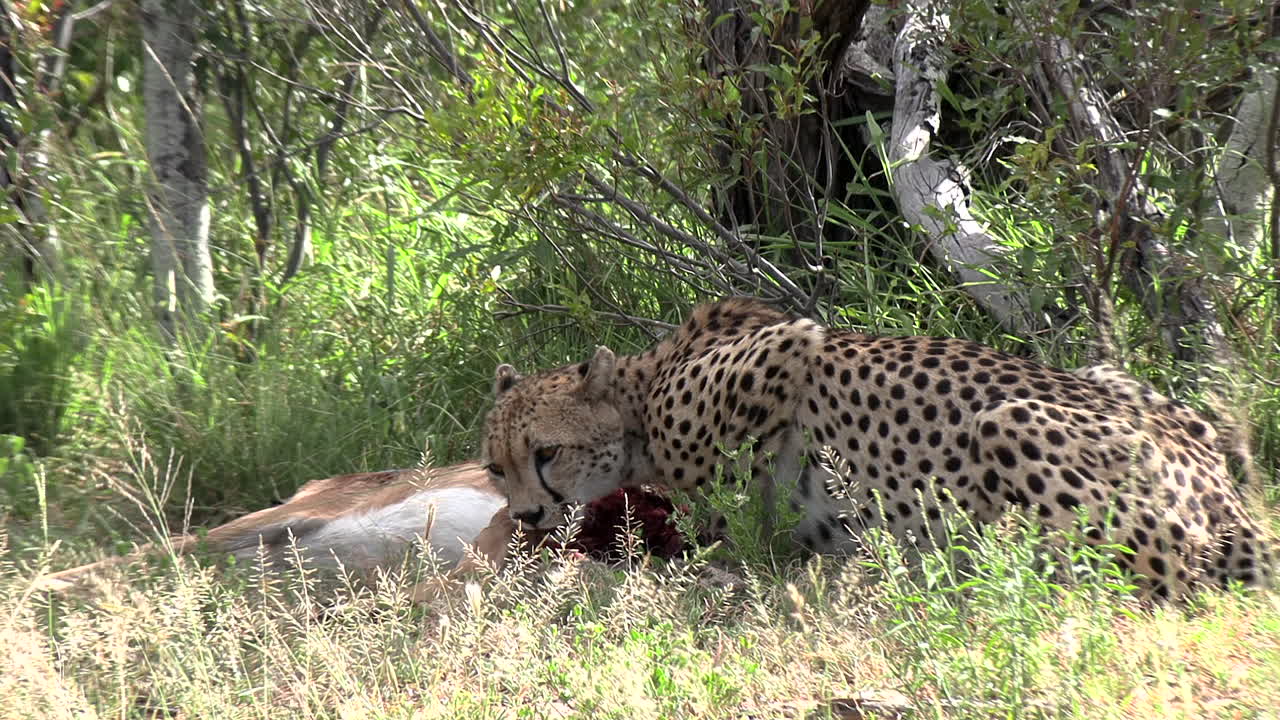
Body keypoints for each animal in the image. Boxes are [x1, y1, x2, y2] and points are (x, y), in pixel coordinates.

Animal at [482, 297, 1274, 600]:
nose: (525, 516)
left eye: (547, 453)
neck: (641, 401)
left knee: (1145, 587)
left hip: (1008, 421)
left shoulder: (789, 347)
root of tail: (1227, 499)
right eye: (497, 467)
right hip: (1115, 379)